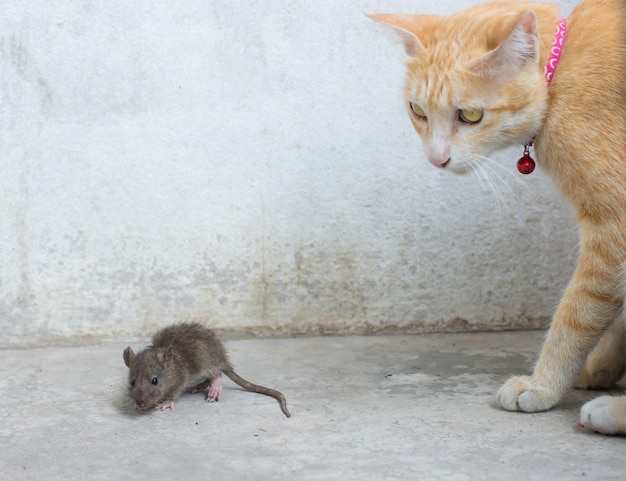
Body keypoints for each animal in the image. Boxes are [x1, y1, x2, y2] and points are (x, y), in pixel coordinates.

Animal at [368, 0, 624, 436]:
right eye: (417, 111)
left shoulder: (614, 226)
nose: (436, 159)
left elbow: (578, 312)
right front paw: (600, 366)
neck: (559, 73)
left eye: (470, 115)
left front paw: (543, 385)